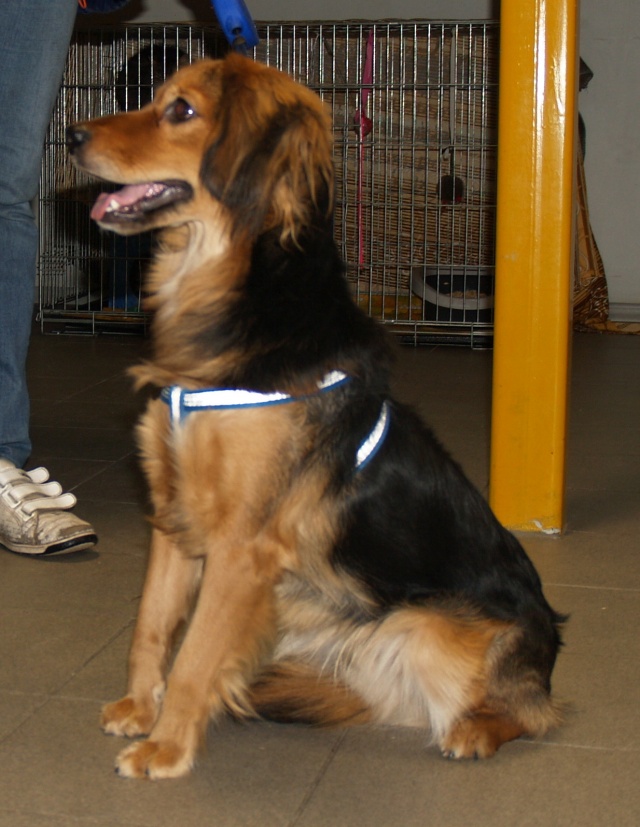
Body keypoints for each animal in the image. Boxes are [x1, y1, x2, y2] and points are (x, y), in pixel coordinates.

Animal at [67, 53, 564, 780]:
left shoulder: (242, 545)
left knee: (532, 710)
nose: (71, 135)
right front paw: (138, 708)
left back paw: (477, 727)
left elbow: (195, 656)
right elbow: (151, 627)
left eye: (181, 111)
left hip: (429, 627)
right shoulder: (173, 511)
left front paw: (166, 744)